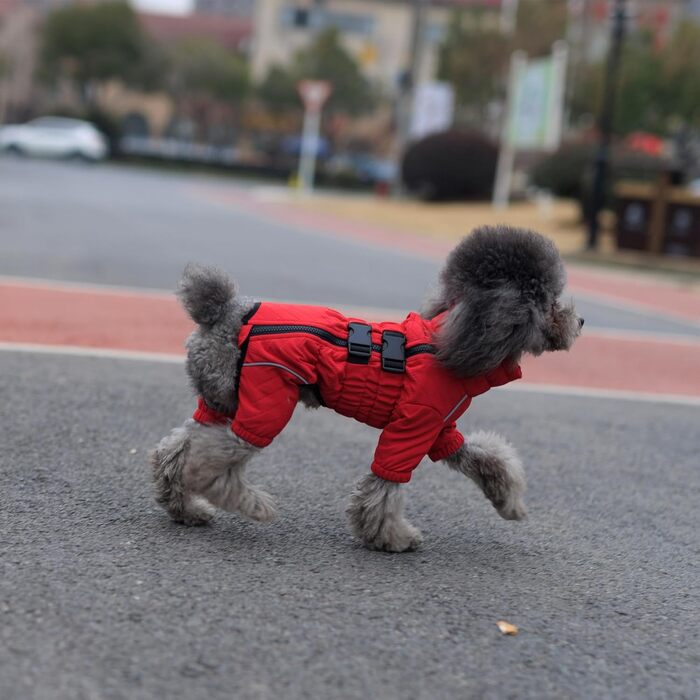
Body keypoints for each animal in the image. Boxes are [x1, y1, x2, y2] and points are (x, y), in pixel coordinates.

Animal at [150, 226, 584, 552]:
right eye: (547, 300)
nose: (579, 321)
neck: (449, 342)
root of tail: (222, 311)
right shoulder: (411, 427)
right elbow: (387, 482)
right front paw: (391, 536)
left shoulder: (440, 430)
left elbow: (487, 459)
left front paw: (509, 503)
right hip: (265, 400)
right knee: (211, 461)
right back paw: (252, 504)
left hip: (220, 399)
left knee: (176, 450)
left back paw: (185, 507)